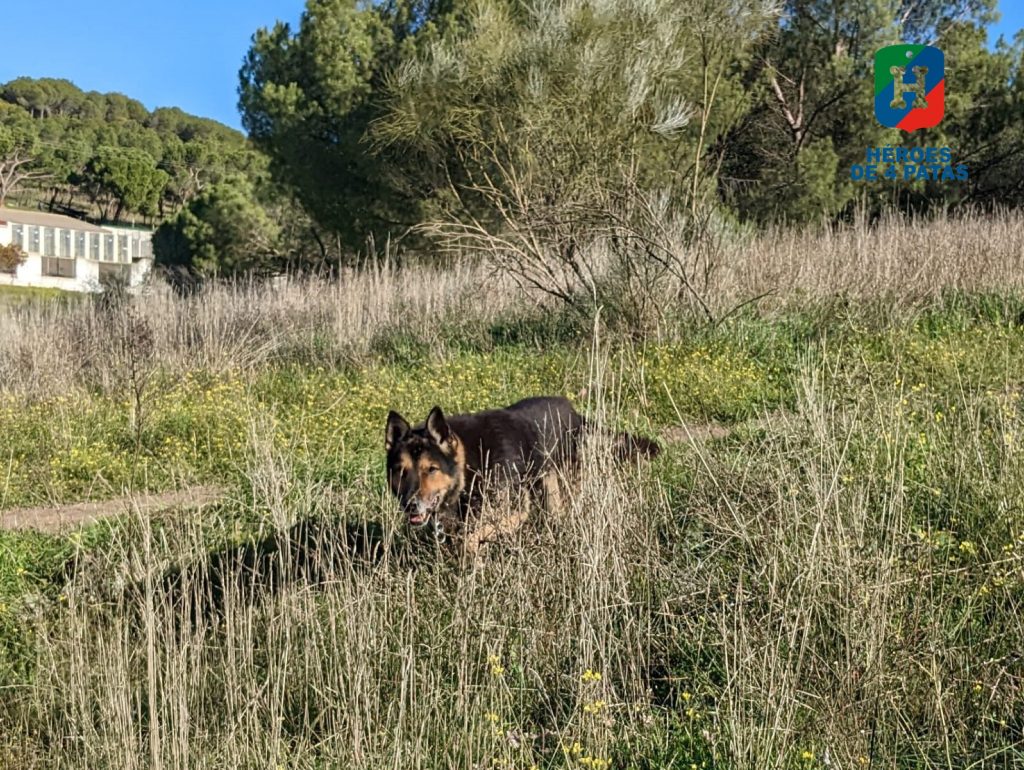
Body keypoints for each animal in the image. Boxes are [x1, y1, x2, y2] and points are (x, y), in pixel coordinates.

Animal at [385, 397, 663, 552]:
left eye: (431, 469)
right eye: (401, 471)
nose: (410, 504)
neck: (469, 465)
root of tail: (574, 411)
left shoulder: (515, 510)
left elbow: (470, 539)